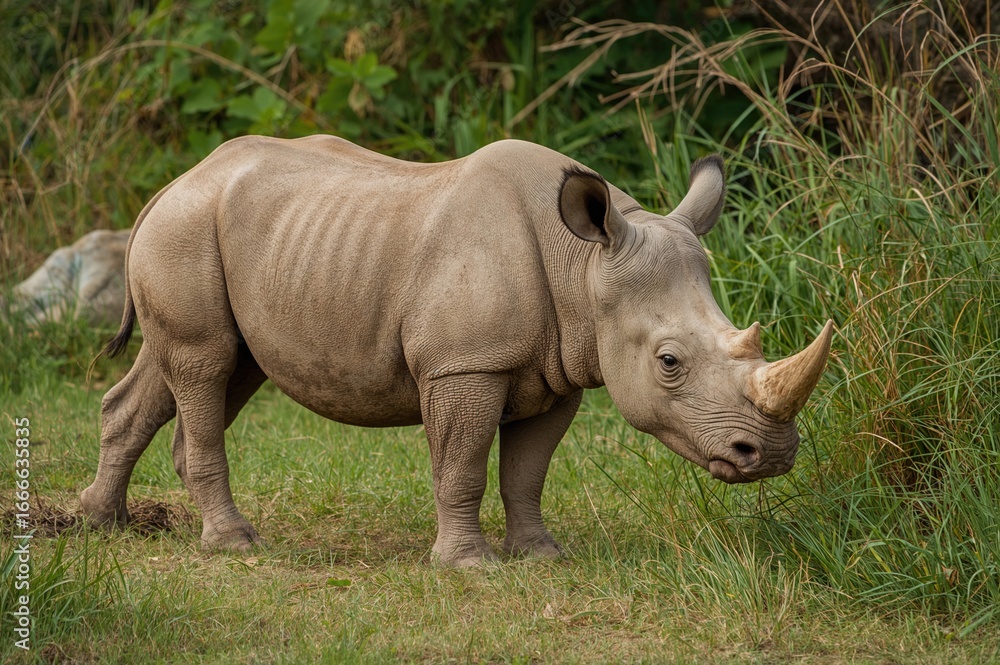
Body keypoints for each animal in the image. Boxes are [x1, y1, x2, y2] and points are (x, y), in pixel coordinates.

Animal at [80, 136, 832, 567]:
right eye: (669, 362)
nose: (770, 455)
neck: (586, 265)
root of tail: (175, 181)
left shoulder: (560, 369)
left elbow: (528, 471)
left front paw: (541, 556)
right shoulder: (465, 363)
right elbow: (464, 462)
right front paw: (468, 565)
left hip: (234, 237)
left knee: (211, 367)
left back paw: (101, 524)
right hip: (187, 229)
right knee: (205, 362)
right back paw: (234, 544)